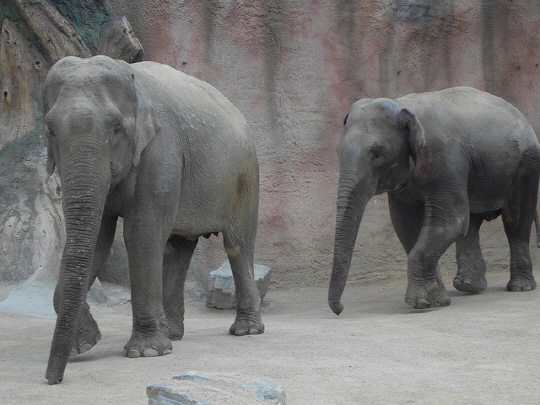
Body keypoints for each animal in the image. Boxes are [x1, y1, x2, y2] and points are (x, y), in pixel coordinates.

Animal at [41, 55, 262, 384]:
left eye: (116, 128)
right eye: (50, 130)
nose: (52, 378)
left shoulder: (162, 149)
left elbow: (140, 233)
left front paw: (145, 352)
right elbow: (99, 242)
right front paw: (85, 345)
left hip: (245, 173)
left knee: (238, 244)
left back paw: (245, 330)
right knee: (177, 248)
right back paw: (173, 333)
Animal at [330, 87, 540, 314]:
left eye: (377, 153)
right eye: (337, 151)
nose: (339, 309)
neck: (403, 106)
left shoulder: (447, 160)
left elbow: (449, 222)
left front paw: (420, 303)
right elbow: (406, 225)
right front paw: (436, 301)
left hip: (526, 164)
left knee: (515, 222)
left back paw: (521, 287)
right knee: (471, 223)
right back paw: (469, 286)